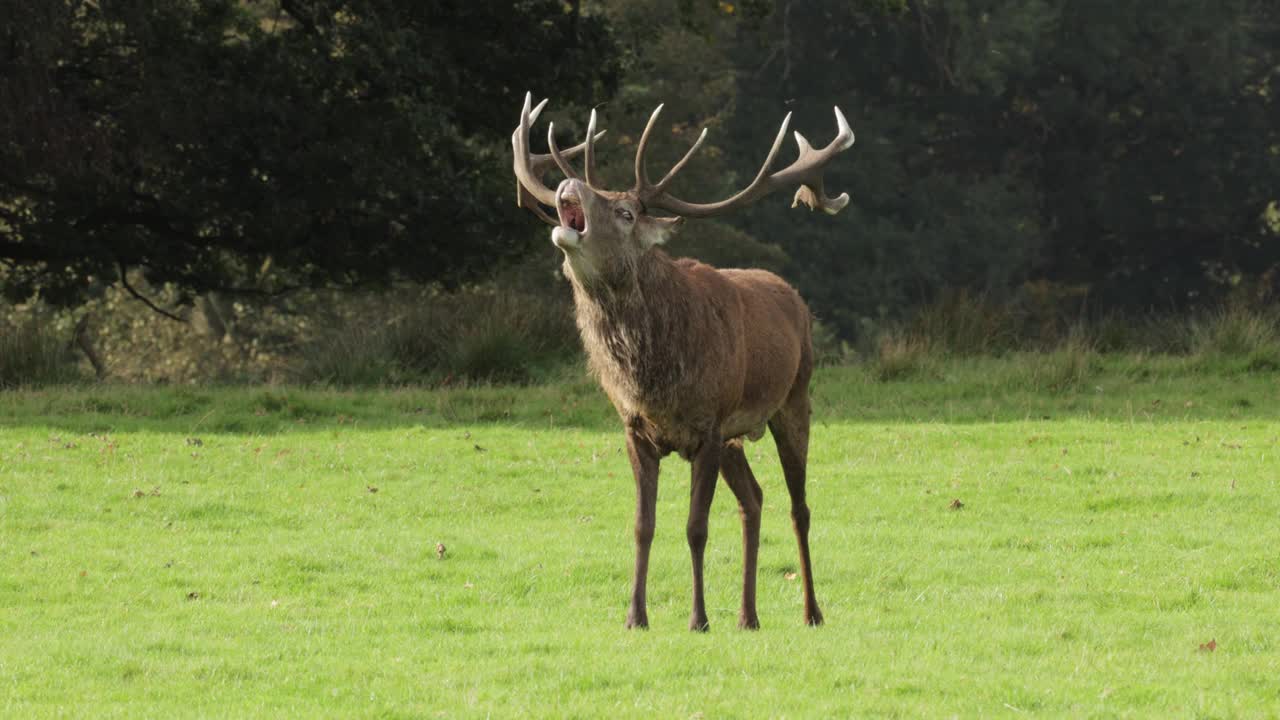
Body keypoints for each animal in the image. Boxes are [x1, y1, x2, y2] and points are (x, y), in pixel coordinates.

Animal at [509, 94, 849, 627]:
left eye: (626, 212)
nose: (569, 185)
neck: (655, 381)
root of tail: (794, 297)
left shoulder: (707, 427)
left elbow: (696, 527)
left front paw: (698, 619)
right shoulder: (636, 429)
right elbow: (642, 525)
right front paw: (635, 616)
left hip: (794, 400)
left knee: (800, 507)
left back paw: (812, 612)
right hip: (736, 437)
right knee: (754, 499)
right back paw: (748, 616)